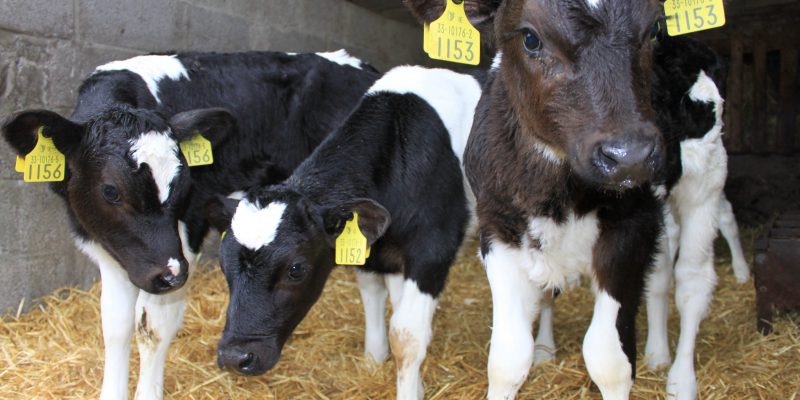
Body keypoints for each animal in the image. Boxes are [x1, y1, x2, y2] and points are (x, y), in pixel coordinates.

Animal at [1, 49, 379, 400]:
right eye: (110, 191)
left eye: (184, 185)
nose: (169, 276)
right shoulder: (110, 248)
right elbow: (116, 325)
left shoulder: (187, 230)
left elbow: (153, 326)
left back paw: (375, 356)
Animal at [206, 66, 481, 400]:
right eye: (223, 265)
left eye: (296, 269)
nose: (235, 358)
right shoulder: (375, 251)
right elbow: (376, 297)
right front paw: (379, 364)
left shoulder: (433, 251)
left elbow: (407, 335)